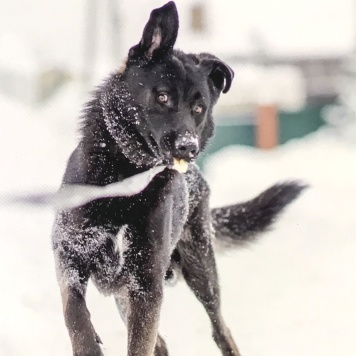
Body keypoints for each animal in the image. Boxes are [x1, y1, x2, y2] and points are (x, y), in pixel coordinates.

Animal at [52, 1, 306, 354]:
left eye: (198, 108)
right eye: (162, 97)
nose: (189, 146)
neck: (127, 178)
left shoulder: (145, 284)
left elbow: (139, 343)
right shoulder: (69, 258)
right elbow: (74, 314)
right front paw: (88, 343)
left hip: (201, 271)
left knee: (219, 329)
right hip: (126, 294)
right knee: (159, 341)